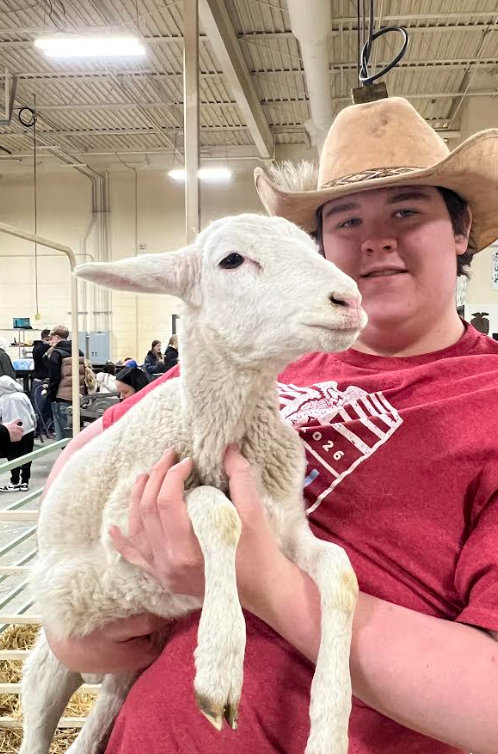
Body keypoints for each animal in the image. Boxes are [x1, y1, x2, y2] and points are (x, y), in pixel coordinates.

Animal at [19, 213, 367, 754]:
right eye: (231, 259)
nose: (348, 300)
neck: (220, 435)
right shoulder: (127, 522)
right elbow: (216, 509)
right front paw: (220, 667)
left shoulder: (285, 529)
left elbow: (340, 571)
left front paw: (330, 728)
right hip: (56, 650)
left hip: (122, 670)